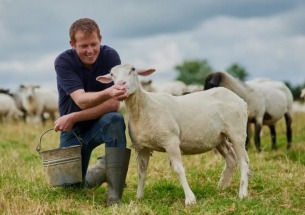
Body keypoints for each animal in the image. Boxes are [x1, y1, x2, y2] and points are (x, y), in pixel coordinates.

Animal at [96, 64, 251, 207]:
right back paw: (221, 187)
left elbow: (178, 169)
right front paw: (138, 197)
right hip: (219, 137)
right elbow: (141, 172)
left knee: (243, 161)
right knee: (231, 159)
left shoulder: (170, 141)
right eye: (112, 74)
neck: (142, 108)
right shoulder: (142, 146)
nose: (120, 85)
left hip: (236, 131)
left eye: (133, 69)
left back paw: (242, 193)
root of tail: (240, 99)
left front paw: (190, 199)